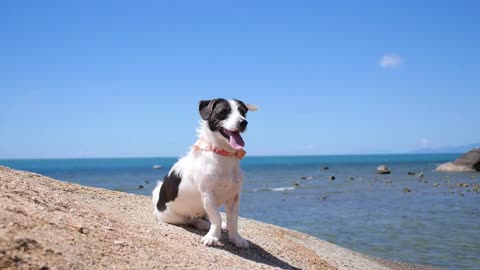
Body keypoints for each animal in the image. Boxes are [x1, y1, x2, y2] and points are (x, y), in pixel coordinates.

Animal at [153, 98, 258, 248]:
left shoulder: (234, 196)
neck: (223, 154)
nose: (244, 122)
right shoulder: (208, 195)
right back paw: (201, 223)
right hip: (174, 217)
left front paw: (236, 238)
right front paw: (213, 237)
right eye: (223, 112)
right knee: (190, 220)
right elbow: (216, 217)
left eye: (243, 113)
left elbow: (233, 221)